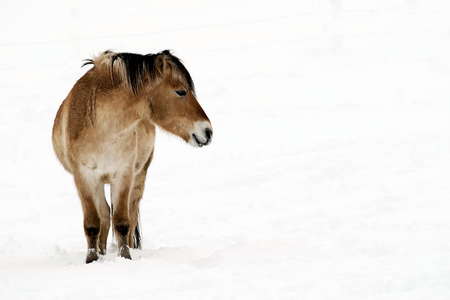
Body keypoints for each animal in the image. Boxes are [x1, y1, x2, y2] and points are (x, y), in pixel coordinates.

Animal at [51, 50, 214, 264]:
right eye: (181, 91)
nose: (208, 131)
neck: (103, 128)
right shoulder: (84, 177)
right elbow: (93, 223)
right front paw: (92, 260)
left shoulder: (123, 174)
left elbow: (122, 221)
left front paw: (125, 257)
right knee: (104, 216)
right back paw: (102, 253)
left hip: (139, 176)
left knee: (129, 215)